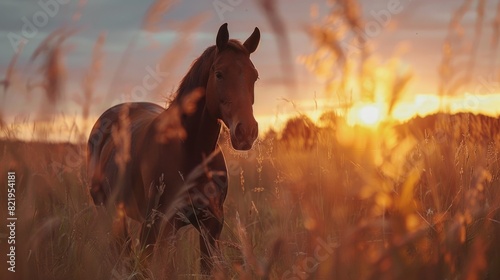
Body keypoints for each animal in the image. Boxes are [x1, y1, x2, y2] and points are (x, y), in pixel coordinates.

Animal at [88, 23, 262, 276]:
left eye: (254, 76)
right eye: (219, 73)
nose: (246, 132)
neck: (191, 153)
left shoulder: (211, 227)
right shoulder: (162, 224)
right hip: (109, 210)